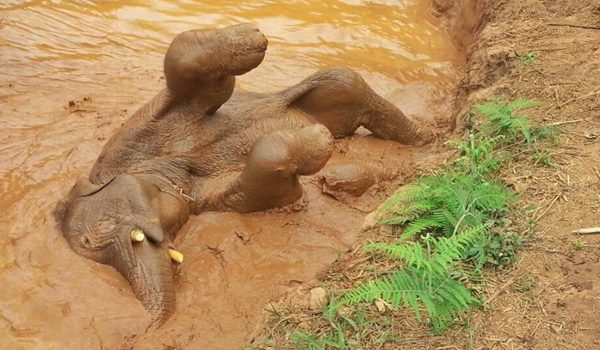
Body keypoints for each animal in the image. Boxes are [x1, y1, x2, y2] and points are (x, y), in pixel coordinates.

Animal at [54, 23, 434, 326]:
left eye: (105, 228)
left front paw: (253, 37)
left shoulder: (131, 137)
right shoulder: (213, 196)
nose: (153, 323)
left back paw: (429, 137)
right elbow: (271, 176)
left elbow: (186, 64)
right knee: (347, 88)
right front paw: (319, 141)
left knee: (344, 80)